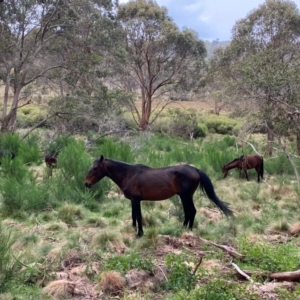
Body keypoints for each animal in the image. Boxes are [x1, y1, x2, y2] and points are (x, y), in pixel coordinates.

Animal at [84, 155, 234, 237]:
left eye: (95, 168)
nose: (86, 183)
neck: (129, 174)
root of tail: (195, 169)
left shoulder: (136, 200)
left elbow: (138, 216)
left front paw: (140, 234)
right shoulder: (133, 200)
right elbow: (133, 216)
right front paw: (134, 229)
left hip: (185, 196)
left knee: (191, 211)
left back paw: (187, 230)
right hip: (185, 196)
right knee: (189, 212)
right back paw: (183, 228)